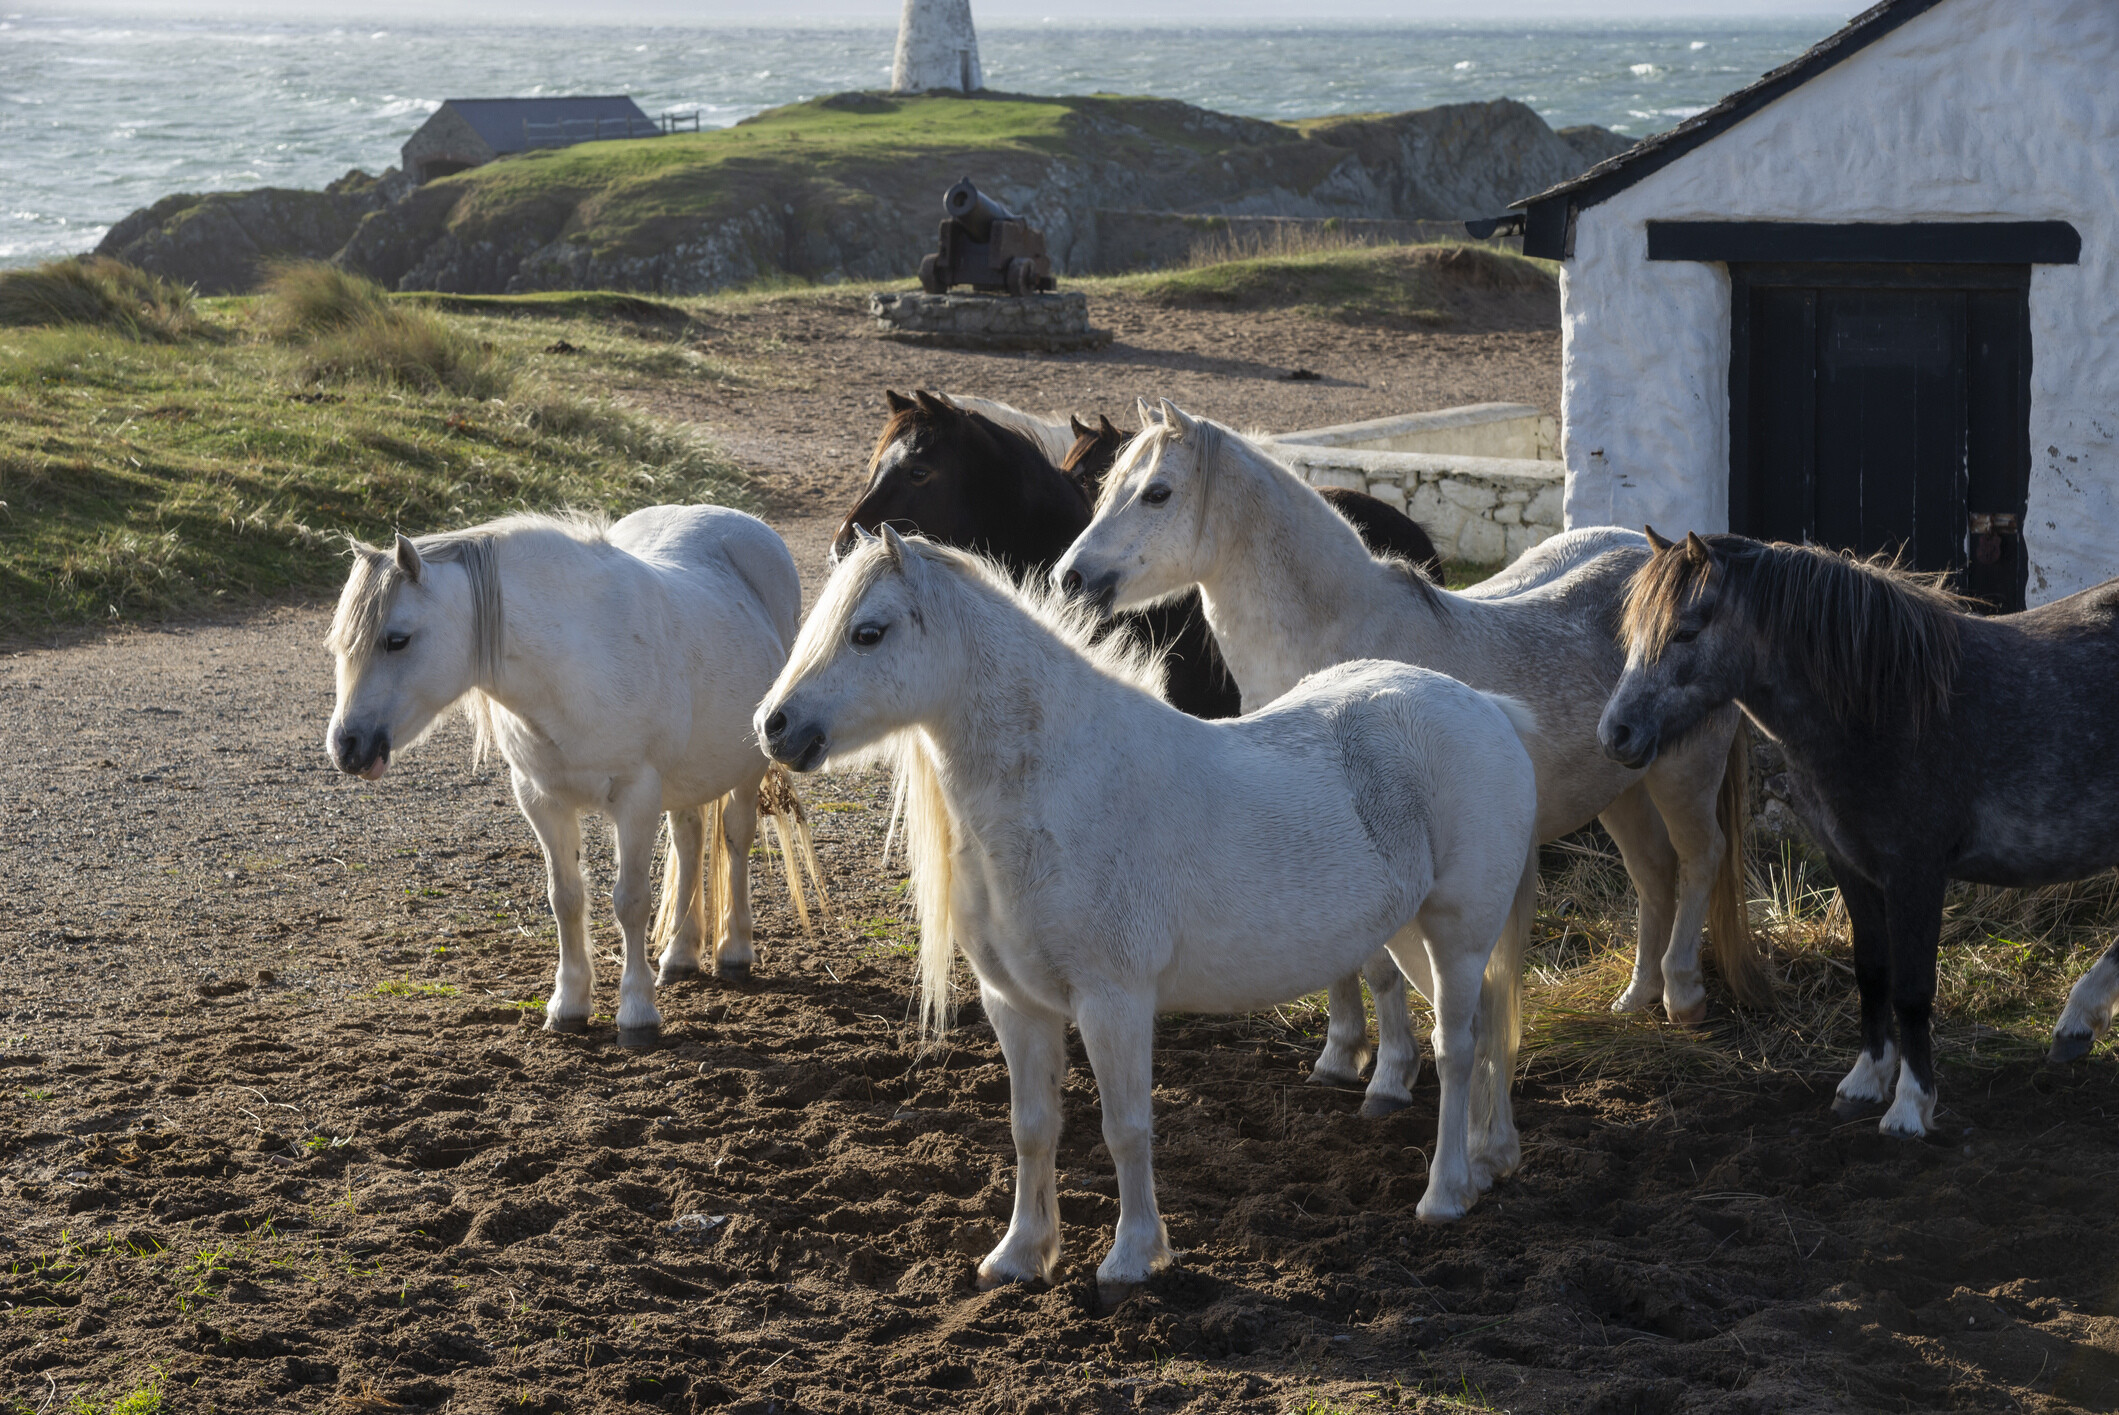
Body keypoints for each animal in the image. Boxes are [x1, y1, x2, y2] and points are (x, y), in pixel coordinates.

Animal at [762, 525, 1542, 1296]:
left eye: (868, 632)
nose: (774, 727)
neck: (1058, 788)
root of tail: (1485, 708)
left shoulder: (1114, 1001)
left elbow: (1125, 1127)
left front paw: (1134, 1256)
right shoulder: (1015, 1003)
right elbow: (1032, 1127)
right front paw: (1019, 1255)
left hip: (1455, 936)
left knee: (1458, 1048)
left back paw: (1445, 1193)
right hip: (1412, 937)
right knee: (1486, 1027)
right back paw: (1489, 1159)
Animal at [1059, 400, 1771, 1029]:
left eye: (1156, 493)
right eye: (1104, 485)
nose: (1070, 578)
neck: (1337, 635)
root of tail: (1673, 561)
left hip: (1683, 773)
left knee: (1701, 857)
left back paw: (1681, 995)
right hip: (1621, 780)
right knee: (1654, 872)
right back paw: (1635, 997)